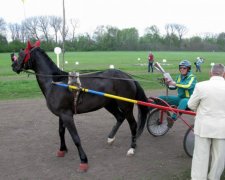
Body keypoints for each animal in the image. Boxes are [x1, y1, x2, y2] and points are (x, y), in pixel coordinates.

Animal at [11, 40, 151, 172]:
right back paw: (111, 138)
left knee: (133, 124)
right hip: (109, 104)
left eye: (21, 53)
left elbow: (76, 138)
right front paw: (62, 150)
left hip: (126, 105)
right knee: (120, 117)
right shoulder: (61, 114)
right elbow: (61, 132)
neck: (56, 83)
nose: (13, 66)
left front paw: (83, 161)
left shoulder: (67, 115)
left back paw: (132, 147)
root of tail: (128, 77)